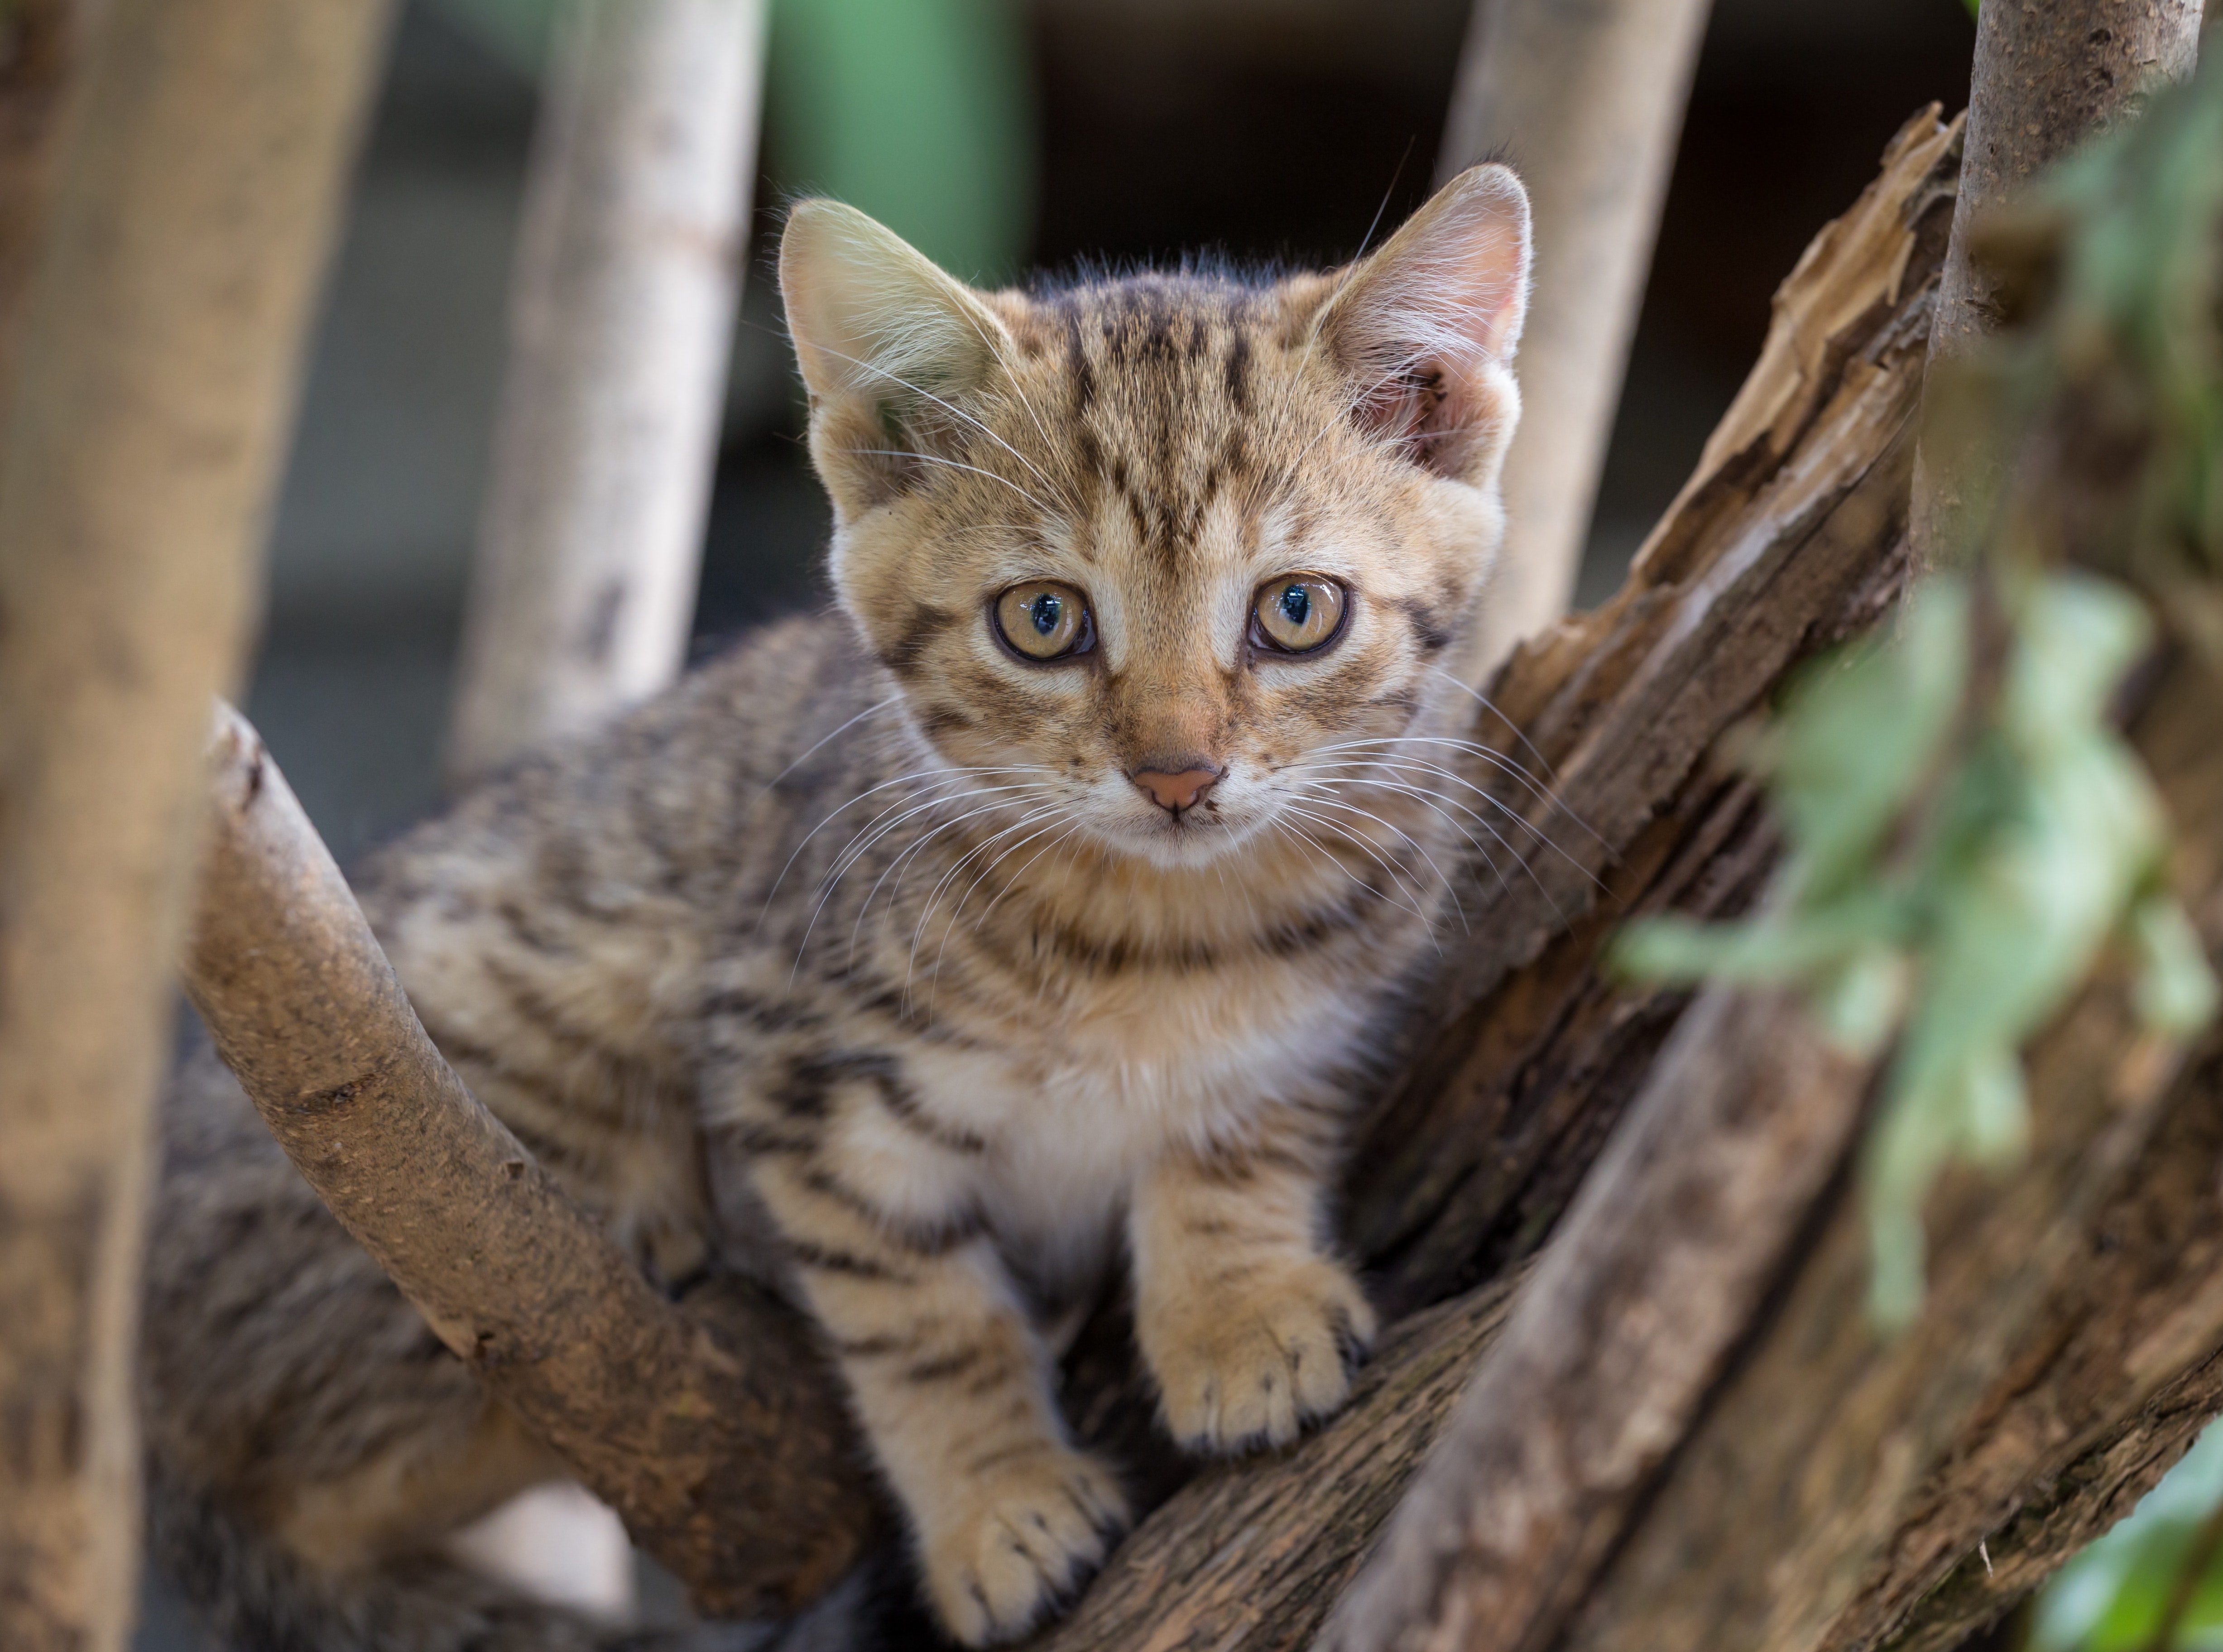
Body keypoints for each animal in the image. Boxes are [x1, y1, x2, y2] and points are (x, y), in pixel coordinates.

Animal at [139, 158, 1529, 1652]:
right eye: (1045, 620)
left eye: (1296, 610)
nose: (1176, 774)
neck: (1155, 928)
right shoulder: (797, 1069)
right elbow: (921, 1315)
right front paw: (997, 1506)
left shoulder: (1331, 1006)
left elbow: (1240, 1138)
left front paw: (1236, 1309)